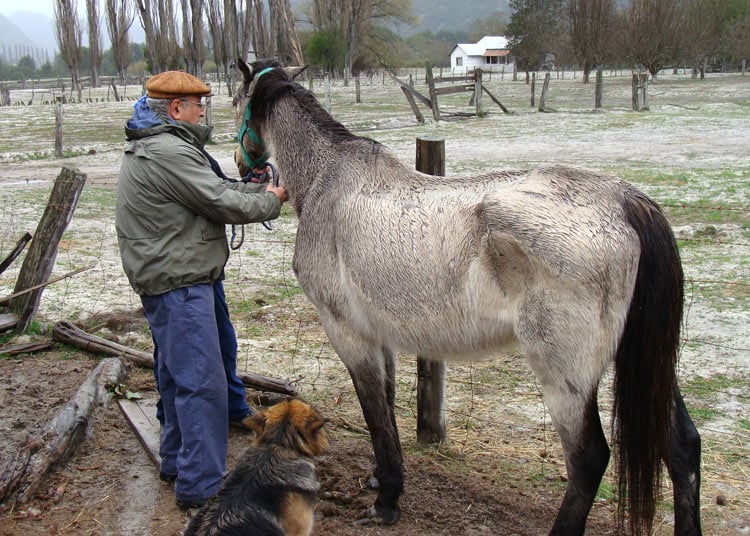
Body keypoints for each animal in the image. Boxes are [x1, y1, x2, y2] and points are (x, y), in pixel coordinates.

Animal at [235, 58, 704, 536]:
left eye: (236, 100)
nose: (240, 162)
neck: (326, 181)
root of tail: (626, 201)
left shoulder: (349, 335)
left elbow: (375, 416)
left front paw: (386, 503)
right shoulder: (379, 337)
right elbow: (387, 410)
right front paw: (382, 481)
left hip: (565, 376)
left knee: (589, 459)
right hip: (642, 361)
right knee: (683, 447)